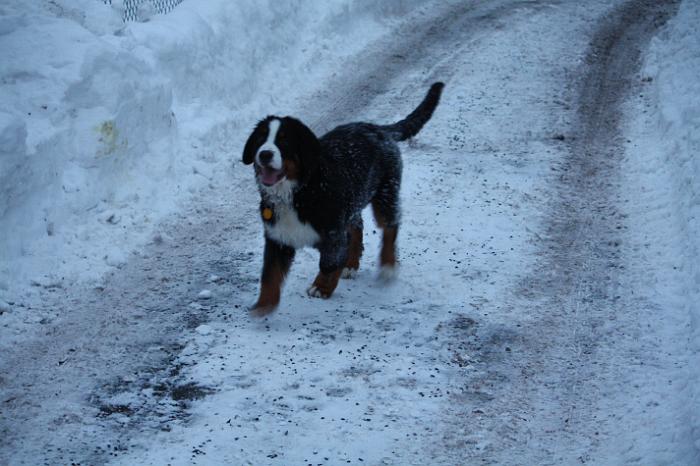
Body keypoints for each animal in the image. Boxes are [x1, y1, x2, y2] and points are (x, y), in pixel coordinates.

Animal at [243, 83, 446, 316]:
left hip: (386, 191)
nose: (265, 154)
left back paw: (387, 265)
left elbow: (330, 262)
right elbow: (270, 274)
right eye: (260, 140)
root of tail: (379, 129)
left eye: (284, 141)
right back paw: (351, 263)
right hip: (354, 199)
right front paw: (263, 305)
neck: (298, 192)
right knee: (357, 225)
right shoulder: (278, 236)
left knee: (390, 226)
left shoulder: (333, 232)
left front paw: (322, 287)